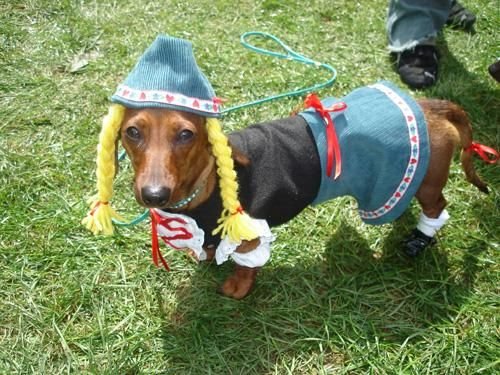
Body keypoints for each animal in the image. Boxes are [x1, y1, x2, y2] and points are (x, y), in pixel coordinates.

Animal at [120, 98, 488, 302]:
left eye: (186, 134)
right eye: (132, 132)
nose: (153, 194)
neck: (207, 182)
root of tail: (429, 107)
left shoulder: (252, 234)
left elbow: (245, 266)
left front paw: (236, 287)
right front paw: (208, 257)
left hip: (427, 182)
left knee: (437, 208)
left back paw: (419, 238)